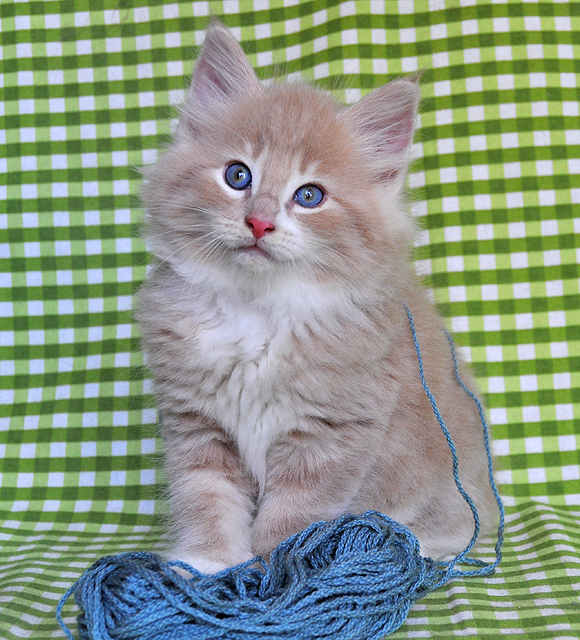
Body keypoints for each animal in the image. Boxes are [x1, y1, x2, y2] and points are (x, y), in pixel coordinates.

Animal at [136, 21, 497, 574]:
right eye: (237, 175)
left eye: (309, 196)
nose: (259, 222)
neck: (257, 311)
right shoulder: (198, 424)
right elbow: (208, 500)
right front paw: (208, 565)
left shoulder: (329, 434)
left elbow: (292, 515)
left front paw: (278, 575)